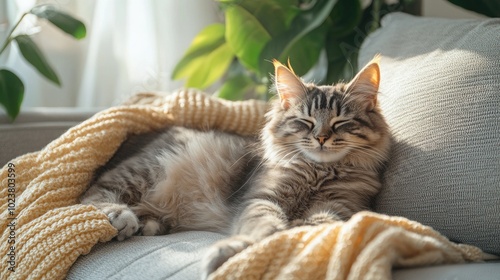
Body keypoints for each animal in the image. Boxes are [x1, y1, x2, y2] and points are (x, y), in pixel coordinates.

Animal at [79, 55, 390, 278]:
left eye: (340, 122)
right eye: (305, 122)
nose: (322, 138)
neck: (318, 172)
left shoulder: (338, 208)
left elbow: (306, 227)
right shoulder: (261, 198)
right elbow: (266, 226)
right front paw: (244, 247)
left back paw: (149, 225)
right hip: (146, 170)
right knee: (91, 194)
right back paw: (122, 217)